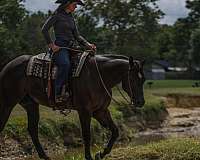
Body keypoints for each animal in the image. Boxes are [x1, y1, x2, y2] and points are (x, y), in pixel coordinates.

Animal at [0, 54, 145, 160]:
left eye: (142, 80)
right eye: (133, 79)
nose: (140, 102)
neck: (98, 76)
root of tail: (7, 67)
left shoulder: (100, 111)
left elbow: (115, 131)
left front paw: (100, 154)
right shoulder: (85, 111)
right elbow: (86, 135)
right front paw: (89, 157)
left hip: (31, 105)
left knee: (32, 130)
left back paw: (45, 156)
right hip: (7, 104)